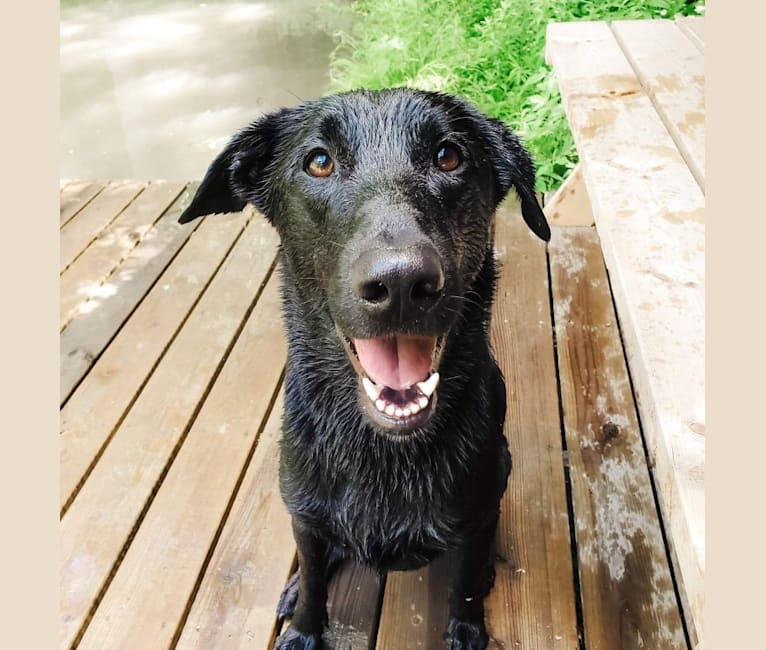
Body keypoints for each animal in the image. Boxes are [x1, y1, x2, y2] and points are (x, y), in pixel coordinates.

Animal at [178, 87, 552, 648]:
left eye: (449, 155)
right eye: (319, 162)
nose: (400, 284)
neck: (382, 453)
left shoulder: (477, 504)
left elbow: (464, 584)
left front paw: (467, 623)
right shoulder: (304, 513)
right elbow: (314, 579)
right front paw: (303, 626)